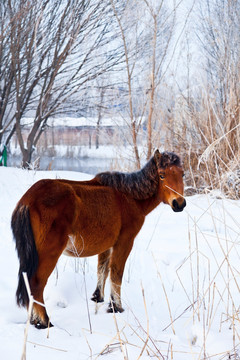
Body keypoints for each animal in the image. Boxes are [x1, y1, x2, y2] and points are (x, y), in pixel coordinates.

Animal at [11, 150, 186, 330]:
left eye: (182, 174)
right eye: (162, 175)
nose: (179, 203)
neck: (129, 197)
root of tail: (28, 200)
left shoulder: (107, 245)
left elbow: (102, 269)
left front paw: (98, 298)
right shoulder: (124, 242)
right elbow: (116, 274)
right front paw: (116, 307)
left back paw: (35, 321)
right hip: (49, 253)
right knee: (36, 284)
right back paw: (45, 322)